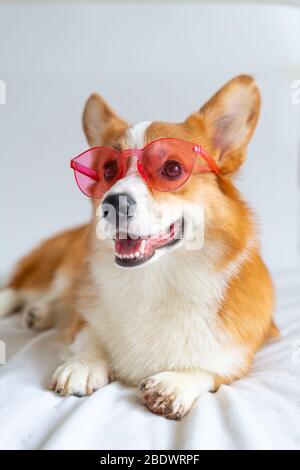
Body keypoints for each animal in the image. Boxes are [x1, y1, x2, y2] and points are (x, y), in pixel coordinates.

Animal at [0, 75, 278, 420]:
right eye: (108, 170)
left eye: (172, 169)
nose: (113, 204)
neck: (157, 279)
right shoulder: (86, 317)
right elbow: (89, 333)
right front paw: (84, 364)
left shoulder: (242, 350)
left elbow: (215, 368)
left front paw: (177, 382)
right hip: (55, 268)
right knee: (19, 289)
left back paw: (40, 314)